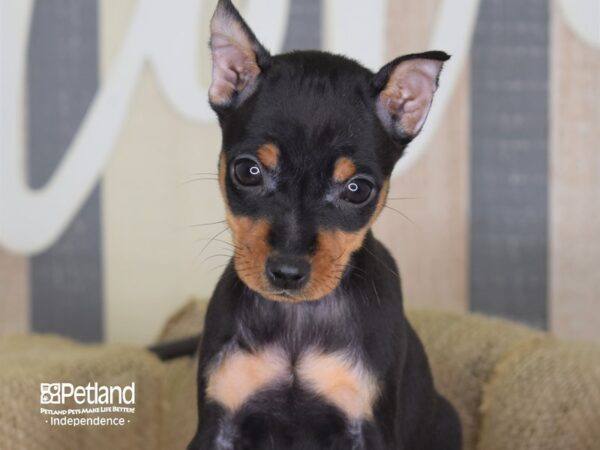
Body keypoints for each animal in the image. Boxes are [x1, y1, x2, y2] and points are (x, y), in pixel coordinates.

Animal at [190, 1, 462, 448]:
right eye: (247, 171)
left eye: (357, 189)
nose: (287, 272)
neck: (298, 319)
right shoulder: (218, 424)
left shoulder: (367, 426)